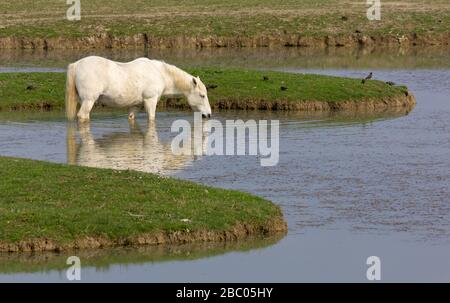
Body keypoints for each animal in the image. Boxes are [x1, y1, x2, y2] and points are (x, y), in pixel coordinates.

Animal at [64, 55, 212, 121]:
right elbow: (151, 118)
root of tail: (76, 64)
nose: (209, 115)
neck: (160, 73)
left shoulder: (135, 106)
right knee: (82, 116)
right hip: (88, 101)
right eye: (202, 95)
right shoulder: (150, 101)